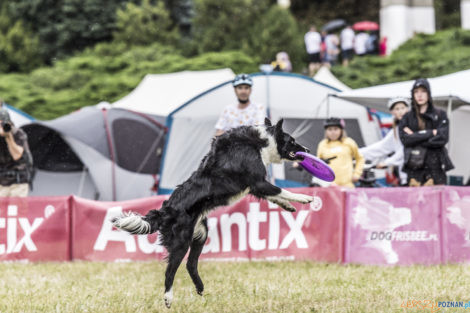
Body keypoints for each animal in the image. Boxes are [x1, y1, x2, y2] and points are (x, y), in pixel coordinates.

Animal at [112, 118, 314, 308]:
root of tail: (164, 211)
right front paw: (305, 198)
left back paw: (200, 288)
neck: (259, 142)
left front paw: (288, 206)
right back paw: (168, 298)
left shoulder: (256, 187)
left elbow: (277, 196)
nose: (307, 150)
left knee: (191, 264)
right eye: (292, 140)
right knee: (170, 270)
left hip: (200, 234)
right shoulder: (258, 182)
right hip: (182, 241)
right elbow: (282, 191)